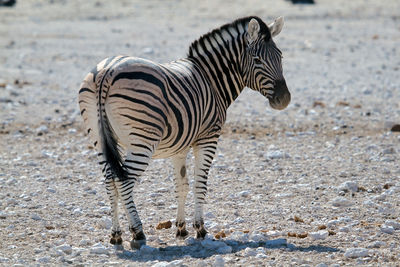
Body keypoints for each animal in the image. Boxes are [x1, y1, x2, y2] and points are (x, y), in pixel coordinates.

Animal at [78, 15, 290, 250]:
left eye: (280, 56)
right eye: (257, 60)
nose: (284, 99)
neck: (211, 79)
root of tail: (106, 72)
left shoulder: (178, 146)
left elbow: (182, 184)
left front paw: (181, 228)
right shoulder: (208, 138)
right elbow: (200, 184)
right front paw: (200, 228)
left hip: (99, 139)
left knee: (110, 181)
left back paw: (116, 235)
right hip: (143, 141)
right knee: (124, 181)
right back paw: (138, 232)